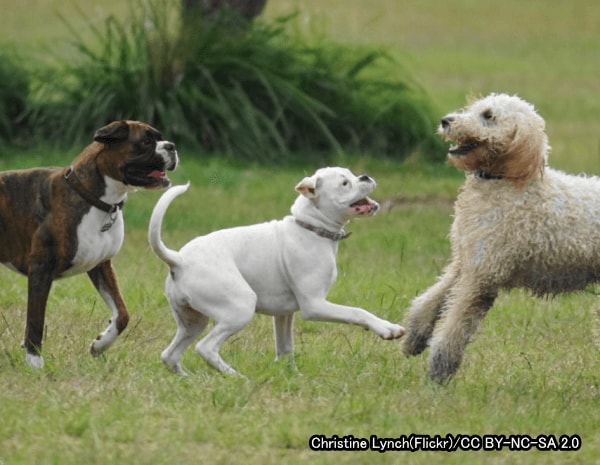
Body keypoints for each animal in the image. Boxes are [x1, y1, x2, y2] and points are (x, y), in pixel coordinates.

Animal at [2, 119, 180, 366]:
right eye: (145, 142)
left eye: (160, 138)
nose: (172, 146)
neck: (94, 199)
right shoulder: (40, 271)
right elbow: (35, 322)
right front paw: (35, 364)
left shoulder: (101, 265)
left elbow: (122, 314)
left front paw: (100, 344)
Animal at [148, 169, 406, 376]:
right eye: (345, 183)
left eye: (352, 175)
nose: (365, 176)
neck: (311, 227)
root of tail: (179, 259)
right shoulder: (315, 305)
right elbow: (357, 312)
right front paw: (388, 328)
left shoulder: (283, 315)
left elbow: (285, 348)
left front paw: (291, 376)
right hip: (239, 307)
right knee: (206, 347)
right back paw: (235, 377)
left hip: (192, 321)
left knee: (169, 354)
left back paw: (188, 378)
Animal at [404, 92, 600, 382]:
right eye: (473, 108)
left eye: (488, 116)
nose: (446, 121)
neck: (503, 181)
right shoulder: (466, 260)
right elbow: (433, 298)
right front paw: (415, 337)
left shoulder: (483, 276)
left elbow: (454, 330)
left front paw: (438, 374)